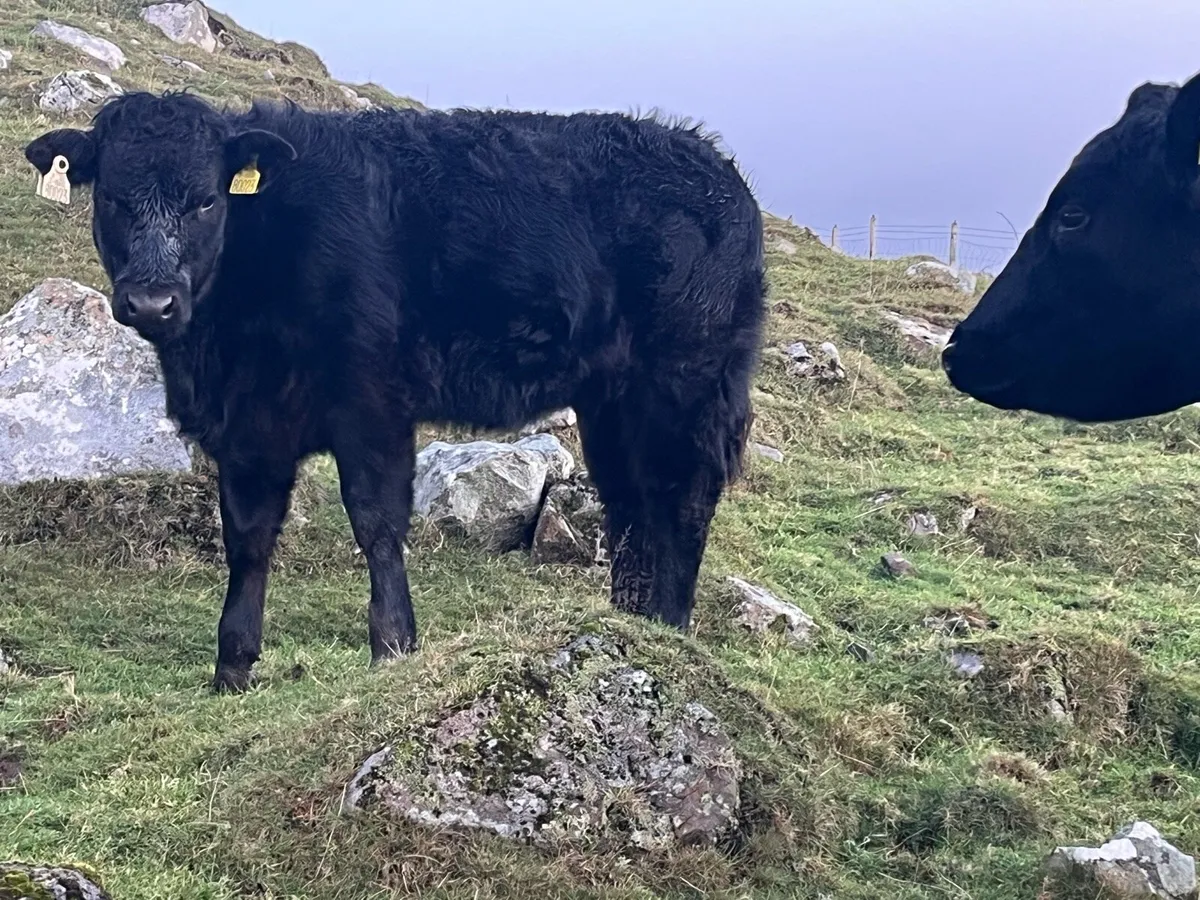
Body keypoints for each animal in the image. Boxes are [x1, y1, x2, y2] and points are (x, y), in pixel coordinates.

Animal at [23, 91, 766, 693]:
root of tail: (716, 168)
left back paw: (670, 625)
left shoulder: (371, 404)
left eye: (206, 199)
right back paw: (633, 622)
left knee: (683, 502)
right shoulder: (250, 427)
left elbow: (376, 521)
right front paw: (232, 667)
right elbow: (248, 536)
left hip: (686, 388)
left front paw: (393, 646)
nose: (153, 302)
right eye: (112, 197)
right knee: (633, 505)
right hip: (612, 402)